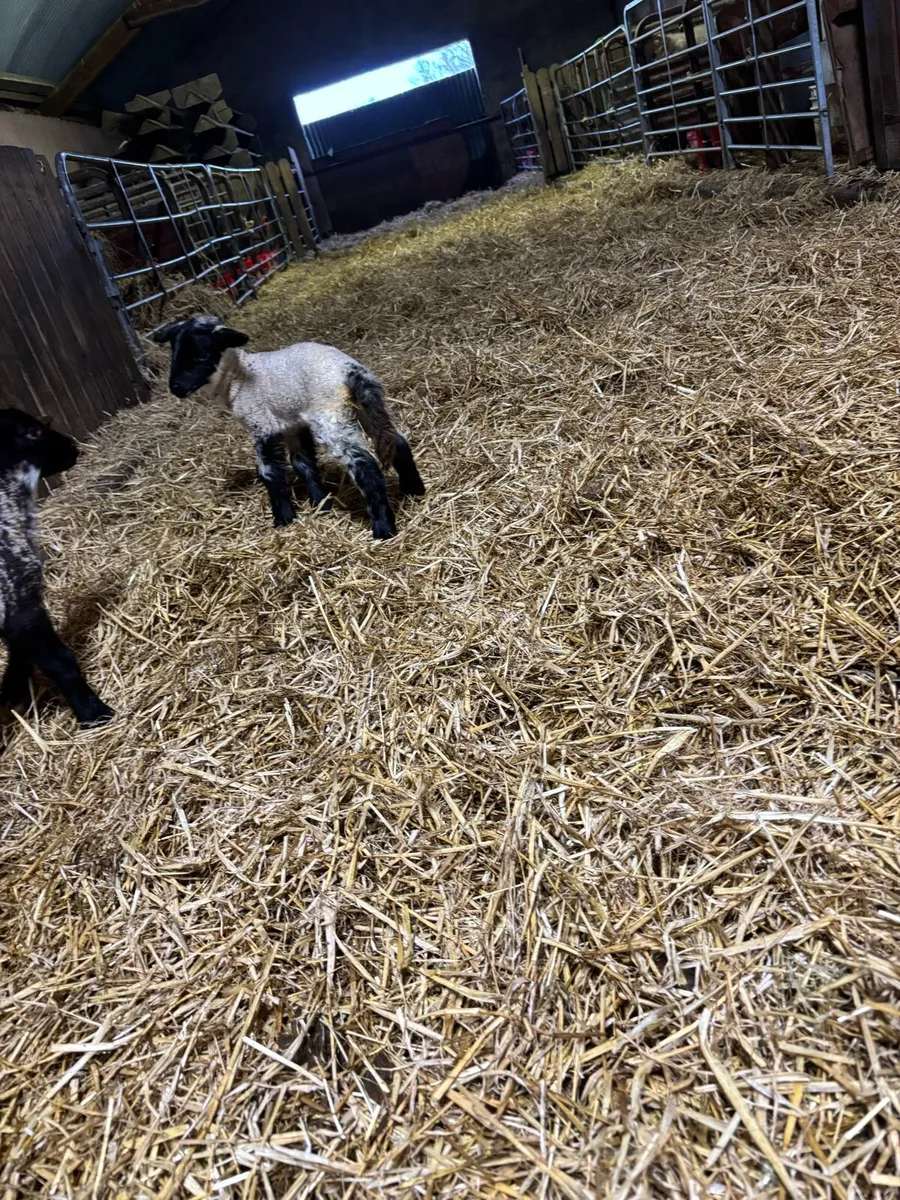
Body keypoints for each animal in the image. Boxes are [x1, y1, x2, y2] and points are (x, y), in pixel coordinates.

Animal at [0, 409, 113, 727]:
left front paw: (12, 690)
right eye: (37, 430)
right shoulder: (20, 602)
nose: (74, 448)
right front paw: (94, 713)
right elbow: (59, 661)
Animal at [153, 316, 425, 539]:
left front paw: (284, 518)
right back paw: (414, 490)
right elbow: (303, 464)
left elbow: (270, 472)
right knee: (396, 440)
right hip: (366, 409)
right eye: (174, 354)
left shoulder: (262, 424)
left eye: (201, 356)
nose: (176, 388)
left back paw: (383, 529)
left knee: (365, 467)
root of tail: (352, 373)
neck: (236, 378)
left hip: (332, 418)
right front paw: (320, 503)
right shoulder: (293, 424)